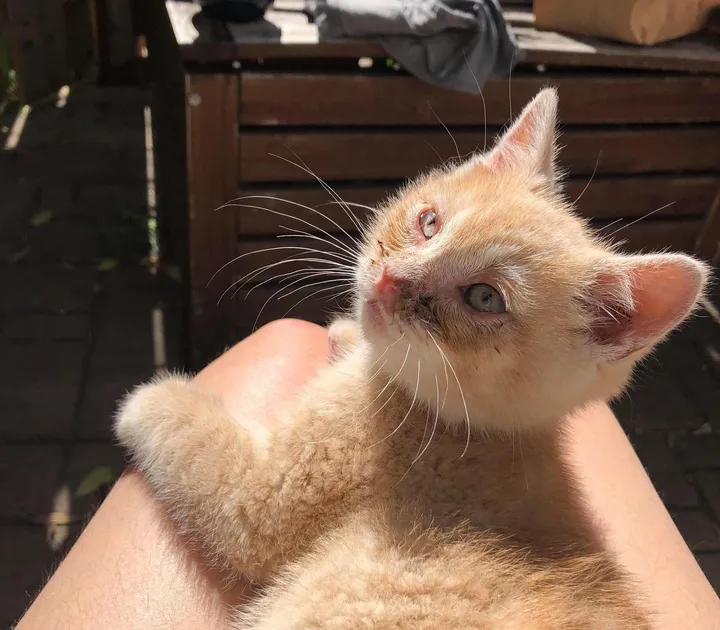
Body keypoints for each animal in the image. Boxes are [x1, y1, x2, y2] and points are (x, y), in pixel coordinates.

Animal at [115, 87, 704, 628]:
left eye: (484, 298)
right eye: (429, 222)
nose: (389, 281)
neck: (473, 431)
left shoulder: (267, 496)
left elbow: (217, 472)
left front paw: (145, 399)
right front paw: (347, 335)